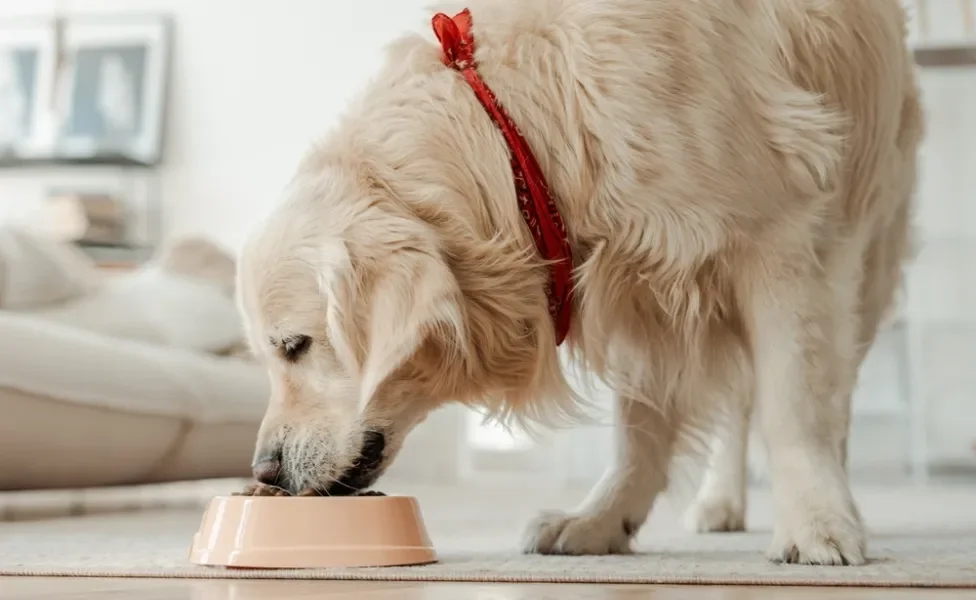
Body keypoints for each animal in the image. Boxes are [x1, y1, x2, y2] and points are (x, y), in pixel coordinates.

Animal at [234, 0, 924, 568]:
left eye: (295, 346)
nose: (264, 470)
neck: (520, 133)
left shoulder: (782, 239)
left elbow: (793, 407)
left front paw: (816, 524)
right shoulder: (642, 284)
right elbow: (639, 429)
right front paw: (602, 521)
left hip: (868, 251)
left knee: (828, 393)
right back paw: (720, 503)